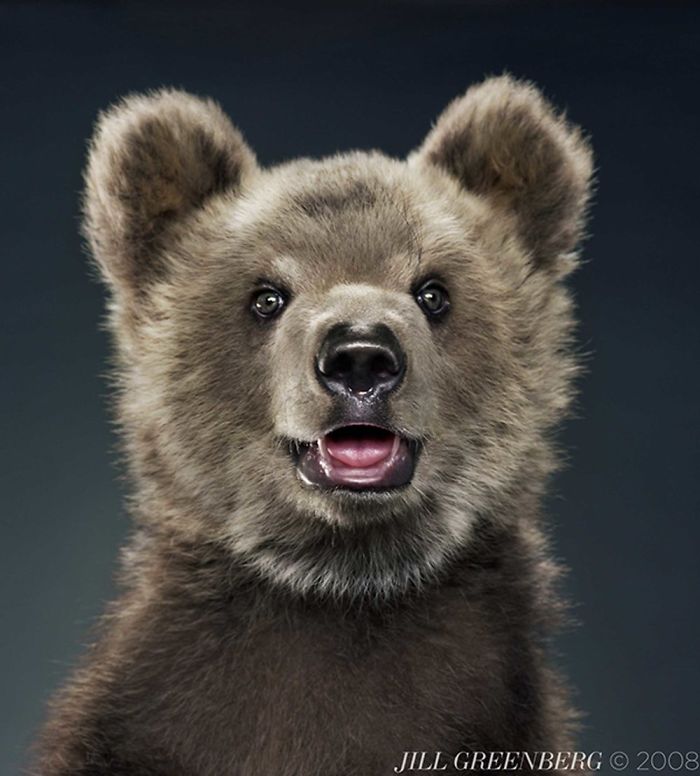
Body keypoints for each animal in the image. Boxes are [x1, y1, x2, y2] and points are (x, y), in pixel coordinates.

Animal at [36, 76, 593, 775]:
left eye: (433, 291)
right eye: (267, 296)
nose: (360, 356)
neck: (341, 579)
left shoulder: (502, 716)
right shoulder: (143, 725)